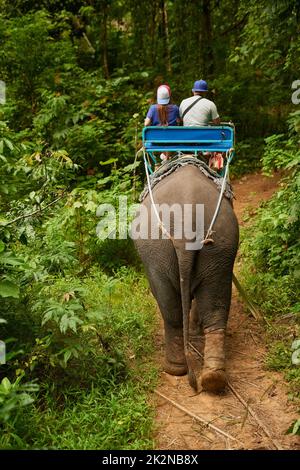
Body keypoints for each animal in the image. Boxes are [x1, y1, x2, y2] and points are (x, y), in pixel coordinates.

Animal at [134, 163, 239, 392]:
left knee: (170, 310)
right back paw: (213, 377)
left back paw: (175, 369)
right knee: (215, 305)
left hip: (157, 251)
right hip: (220, 245)